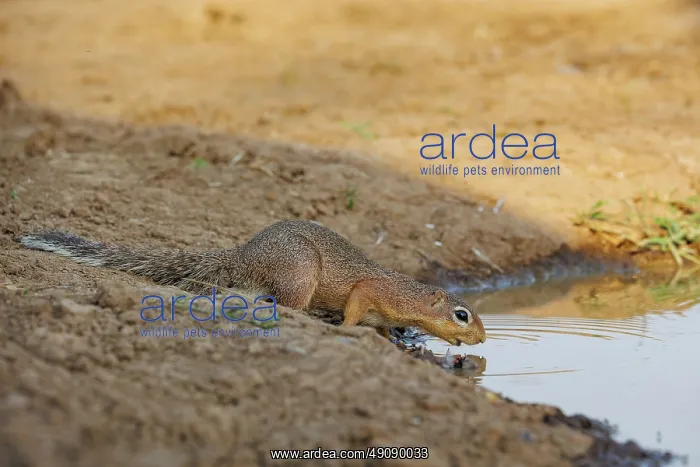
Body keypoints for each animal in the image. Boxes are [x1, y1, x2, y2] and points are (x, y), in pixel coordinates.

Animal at [18, 219, 487, 346]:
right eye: (462, 315)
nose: (482, 339)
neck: (407, 294)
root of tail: (244, 255)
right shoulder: (373, 291)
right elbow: (357, 304)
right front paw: (353, 328)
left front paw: (397, 339)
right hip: (299, 272)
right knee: (285, 305)